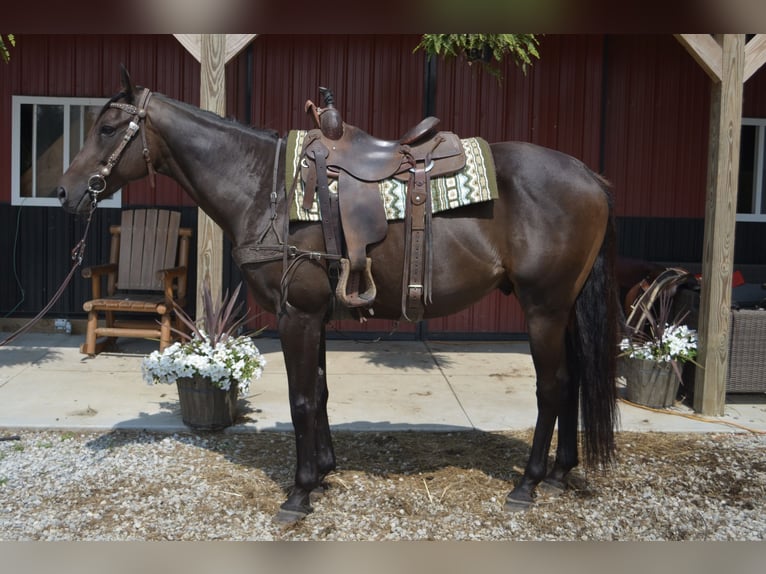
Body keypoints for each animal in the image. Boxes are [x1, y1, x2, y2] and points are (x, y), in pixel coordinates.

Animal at [57, 67, 619, 524]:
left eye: (107, 128)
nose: (66, 192)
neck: (263, 187)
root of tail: (589, 175)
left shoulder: (296, 315)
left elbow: (302, 398)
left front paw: (300, 493)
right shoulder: (317, 316)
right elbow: (322, 391)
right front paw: (325, 471)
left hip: (543, 308)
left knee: (552, 387)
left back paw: (528, 484)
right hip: (563, 309)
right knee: (571, 381)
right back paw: (560, 473)